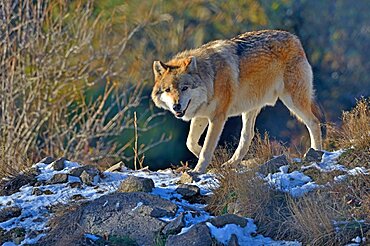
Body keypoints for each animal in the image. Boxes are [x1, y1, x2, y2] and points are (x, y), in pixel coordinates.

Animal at [152, 30, 322, 173]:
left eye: (184, 88)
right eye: (168, 90)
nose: (176, 106)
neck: (211, 77)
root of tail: (294, 38)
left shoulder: (218, 117)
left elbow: (207, 148)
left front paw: (198, 170)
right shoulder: (201, 115)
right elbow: (190, 142)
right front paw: (214, 158)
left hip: (292, 101)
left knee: (314, 122)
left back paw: (316, 152)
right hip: (251, 108)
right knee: (247, 136)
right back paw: (231, 163)